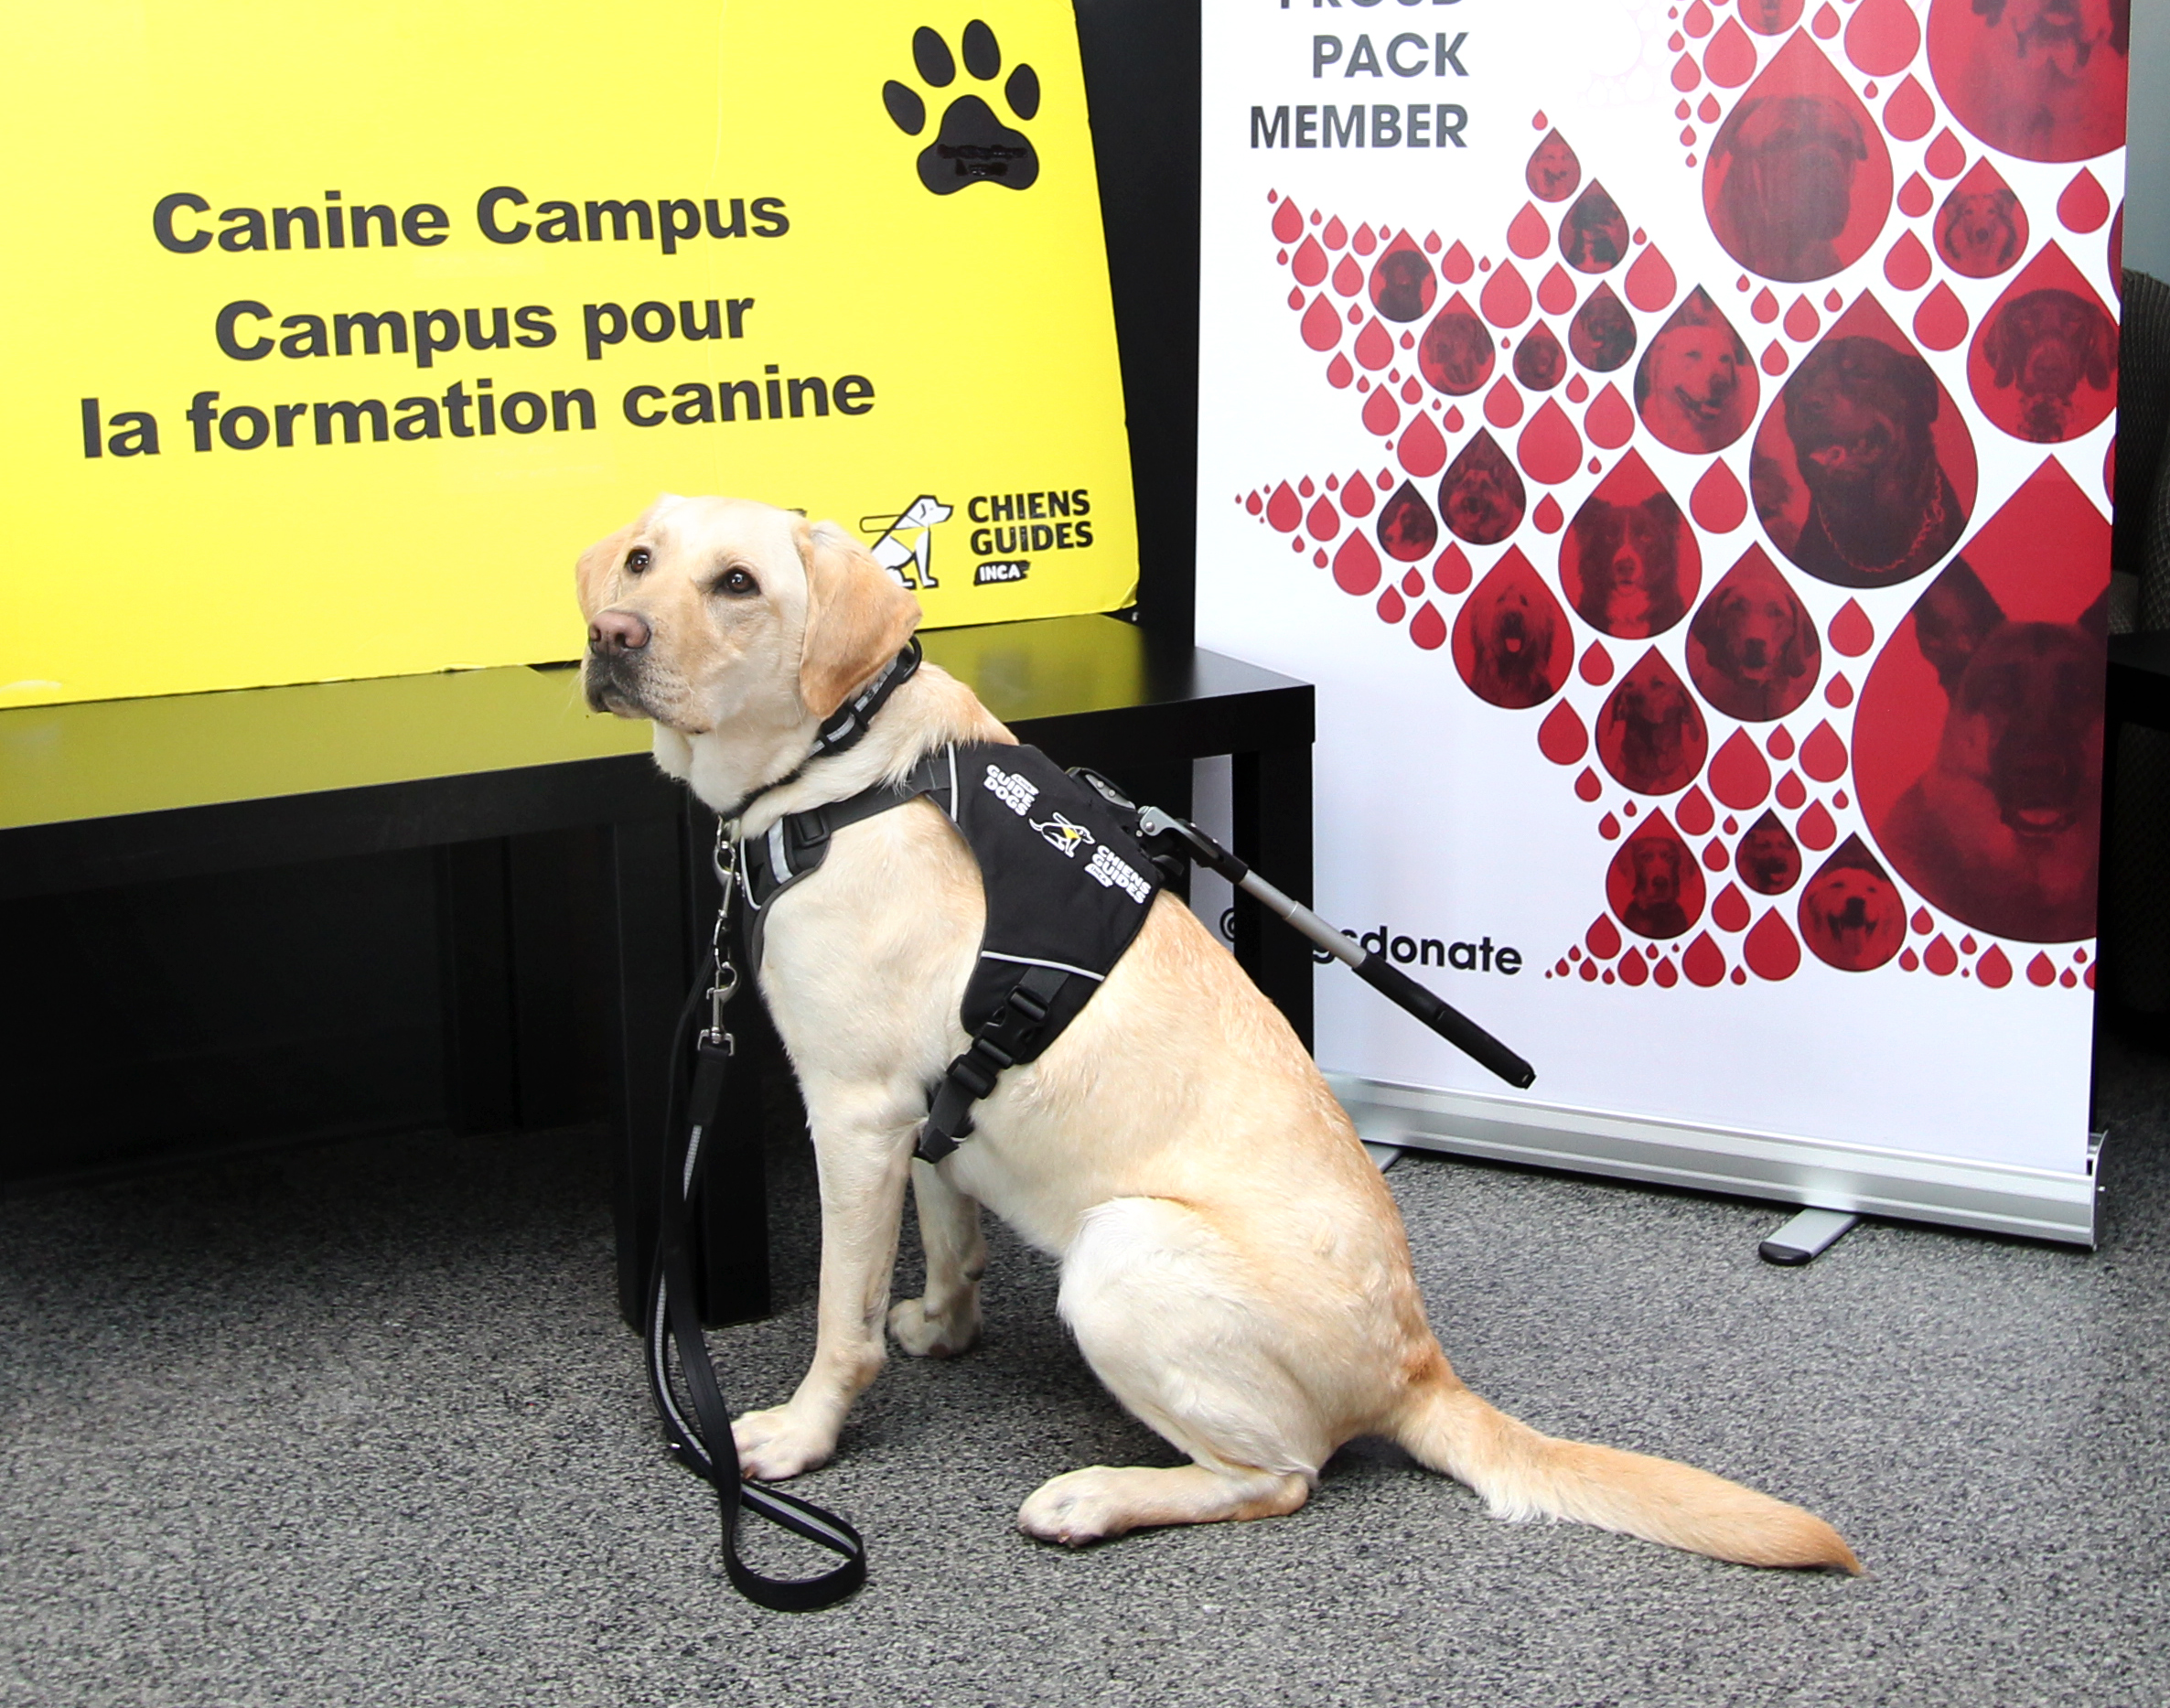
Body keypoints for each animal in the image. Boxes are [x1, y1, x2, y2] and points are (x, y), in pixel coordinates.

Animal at [576, 494, 1865, 1580]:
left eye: (737, 583)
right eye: (640, 559)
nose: (611, 633)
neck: (841, 757)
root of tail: (1415, 1365)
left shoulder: (850, 1111)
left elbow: (837, 1324)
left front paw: (799, 1436)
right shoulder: (920, 1111)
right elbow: (948, 1240)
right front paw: (942, 1328)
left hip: (1123, 1250)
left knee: (1278, 1478)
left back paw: (1096, 1496)